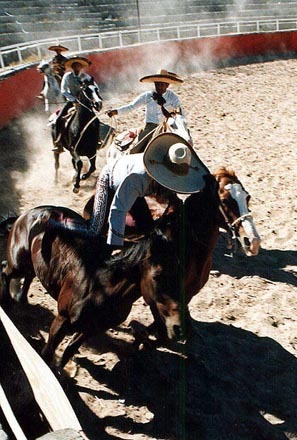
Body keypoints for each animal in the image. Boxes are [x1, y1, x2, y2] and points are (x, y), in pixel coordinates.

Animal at [0, 205, 180, 368]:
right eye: (157, 276)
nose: (177, 326)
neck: (101, 288)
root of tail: (29, 213)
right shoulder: (62, 320)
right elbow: (48, 352)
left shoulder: (91, 330)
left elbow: (70, 350)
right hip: (18, 263)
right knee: (5, 272)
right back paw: (7, 302)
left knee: (29, 274)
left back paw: (22, 299)